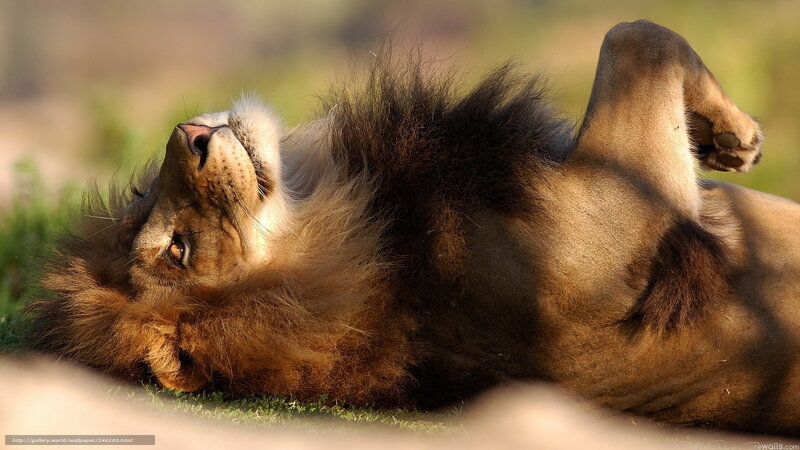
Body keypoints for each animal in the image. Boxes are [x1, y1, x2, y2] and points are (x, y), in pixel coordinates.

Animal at [24, 21, 800, 436]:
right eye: (177, 252)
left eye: (141, 197)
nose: (188, 134)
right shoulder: (631, 206)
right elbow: (638, 38)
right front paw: (736, 135)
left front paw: (724, 141)